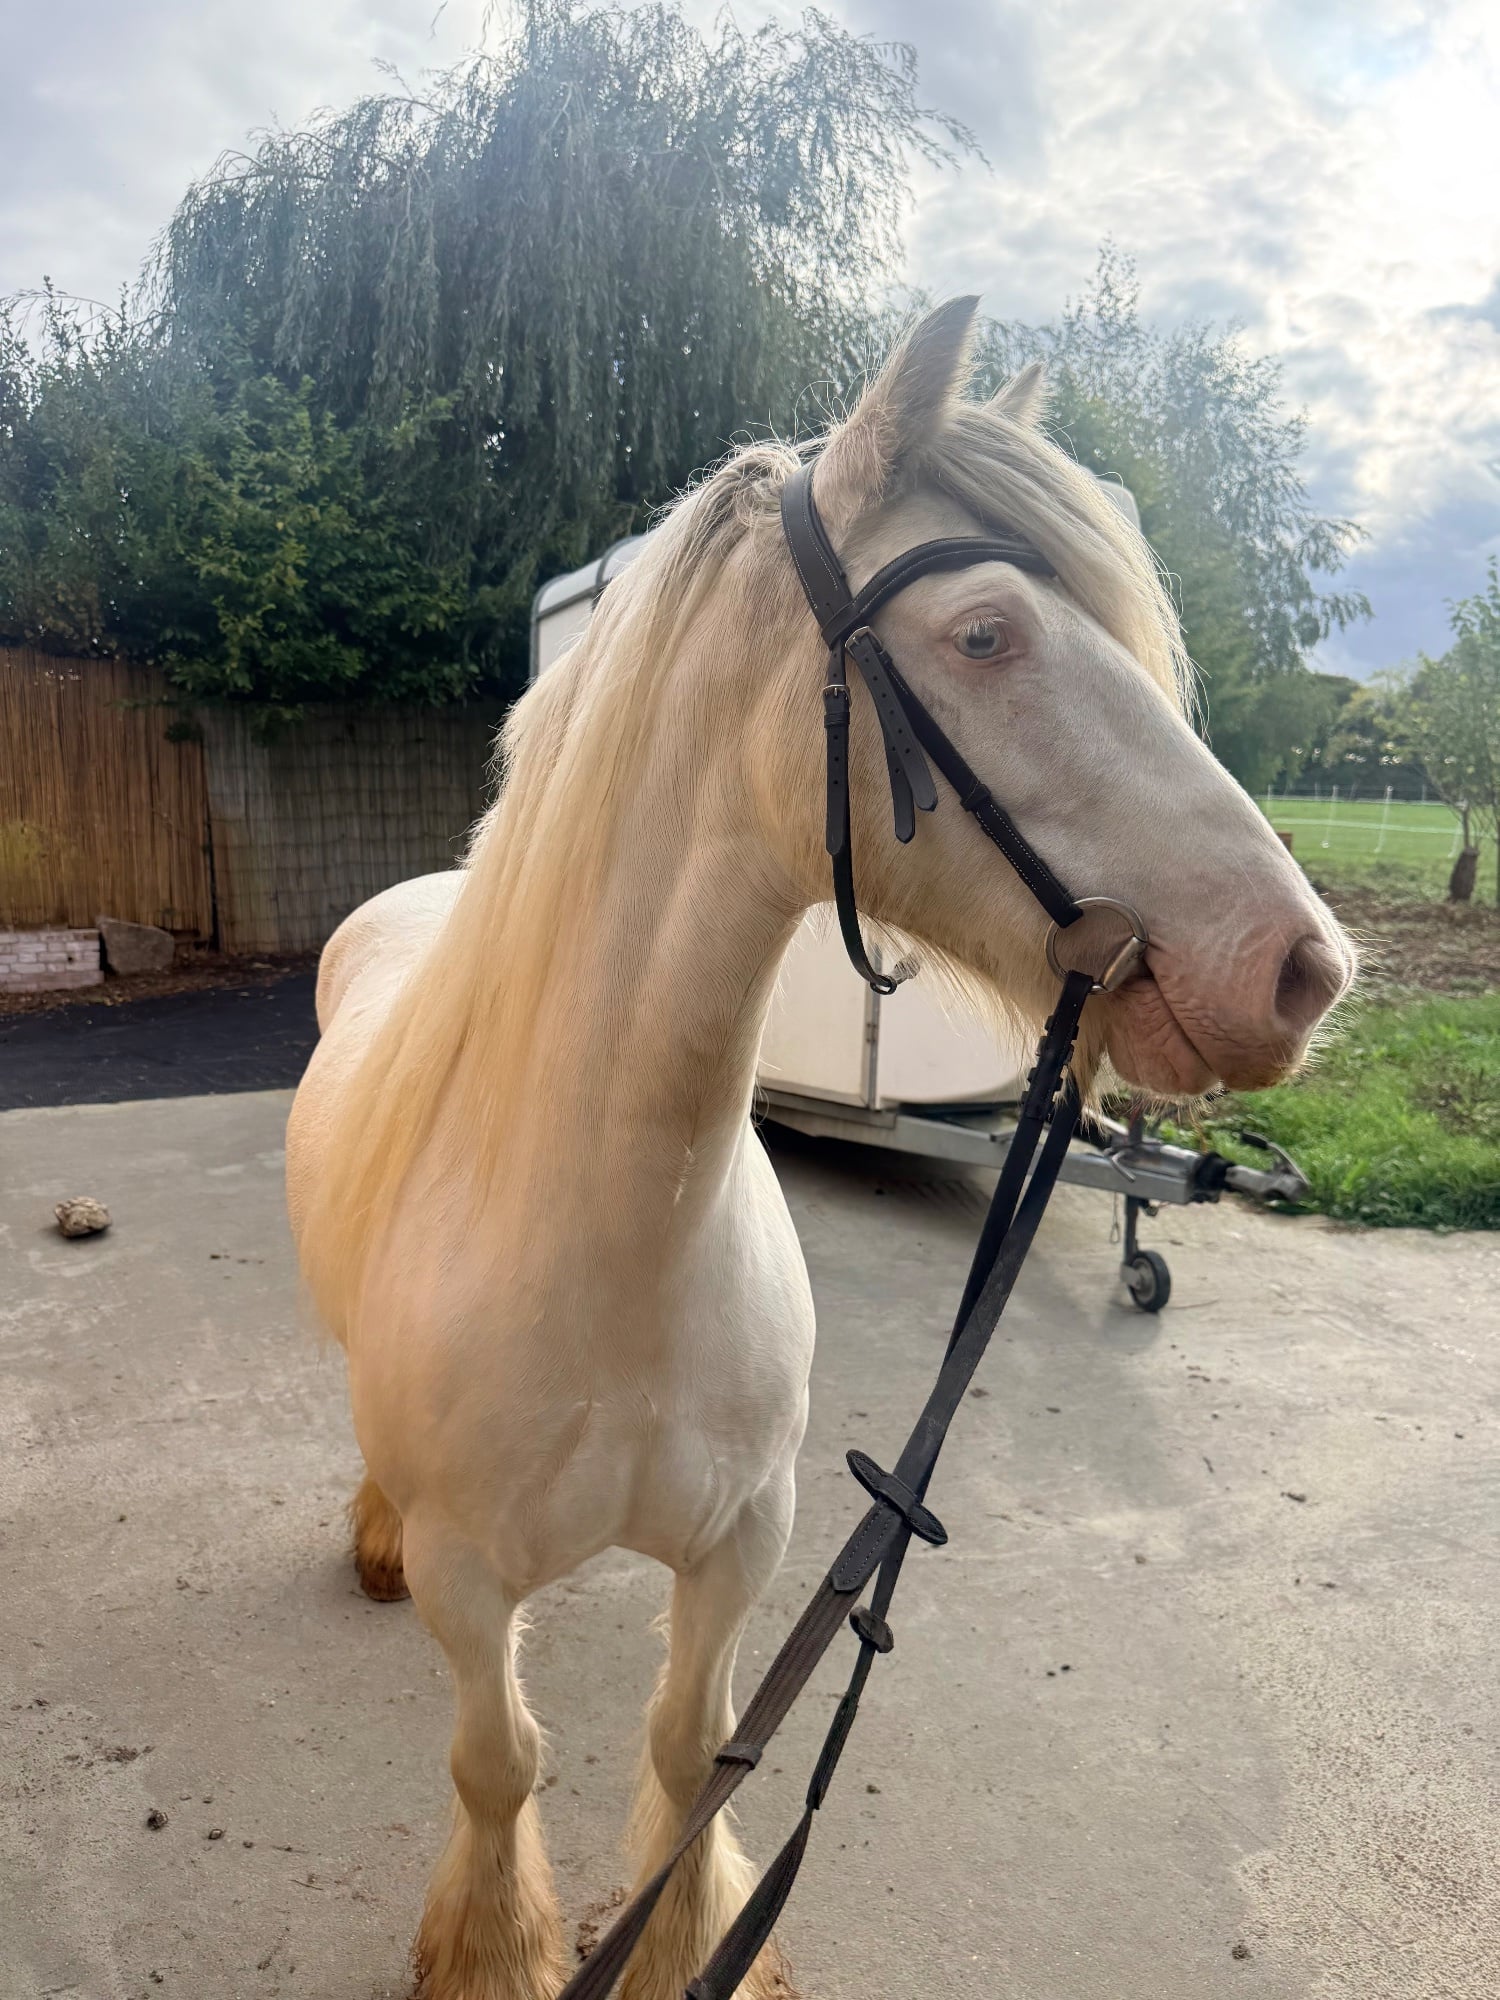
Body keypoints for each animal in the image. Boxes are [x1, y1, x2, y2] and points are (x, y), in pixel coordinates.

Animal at [285, 297, 1353, 2000]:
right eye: (984, 635)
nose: (1303, 970)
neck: (614, 1247)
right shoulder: (474, 1581)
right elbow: (498, 1760)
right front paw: (496, 1948)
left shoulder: (744, 1544)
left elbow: (689, 1746)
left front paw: (685, 1940)